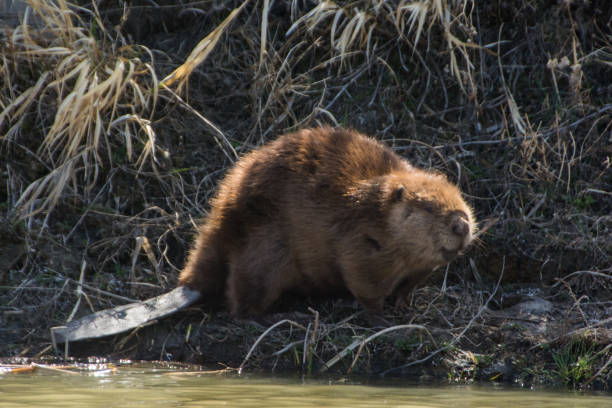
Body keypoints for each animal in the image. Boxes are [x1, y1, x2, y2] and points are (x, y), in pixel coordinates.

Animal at [179, 126, 476, 316]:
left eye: (462, 201)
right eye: (428, 206)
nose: (461, 225)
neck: (375, 211)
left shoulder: (419, 266)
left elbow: (408, 285)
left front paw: (405, 304)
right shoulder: (361, 245)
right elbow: (365, 284)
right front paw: (380, 315)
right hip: (265, 245)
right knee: (243, 296)